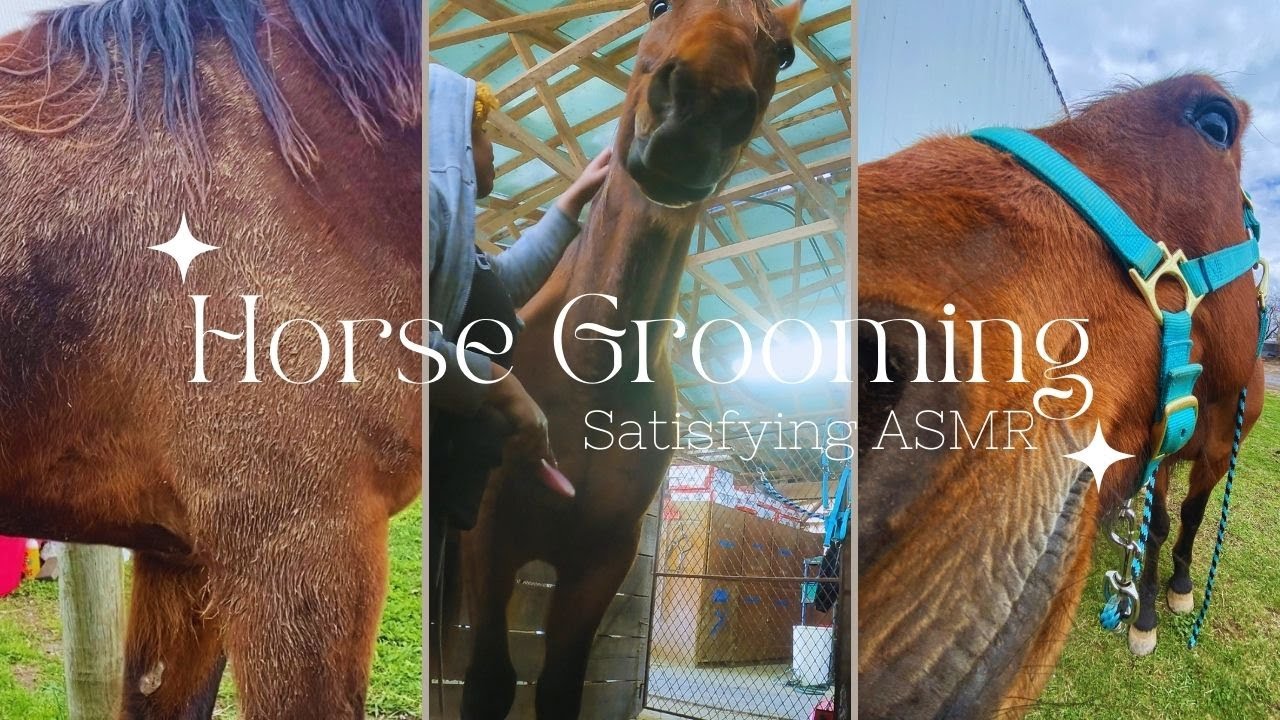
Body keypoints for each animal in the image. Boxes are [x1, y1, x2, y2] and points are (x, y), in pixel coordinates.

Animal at [456, 0, 807, 717]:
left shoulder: (603, 558)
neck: (590, 367)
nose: (698, 110)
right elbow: (488, 682)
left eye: (784, 53)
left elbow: (561, 687)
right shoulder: (489, 539)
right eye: (657, 6)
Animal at [858, 74, 1264, 718]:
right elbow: (1156, 527)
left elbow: (1193, 519)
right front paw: (1145, 616)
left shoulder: (1216, 456)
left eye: (1215, 123)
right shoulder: (1162, 452)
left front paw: (1176, 591)